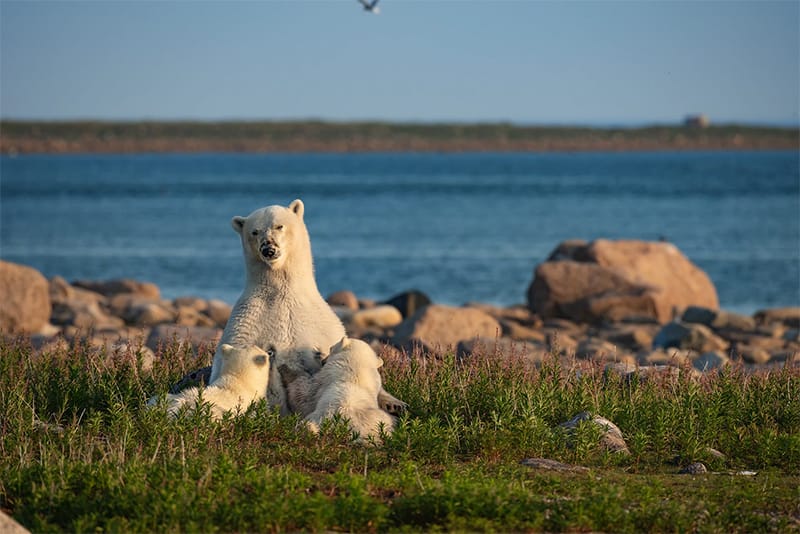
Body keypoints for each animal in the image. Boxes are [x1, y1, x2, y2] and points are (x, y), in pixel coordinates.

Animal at [200, 199, 406, 416]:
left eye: (279, 226)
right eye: (255, 232)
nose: (268, 249)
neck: (283, 292)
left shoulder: (321, 325)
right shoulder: (247, 321)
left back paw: (394, 404)